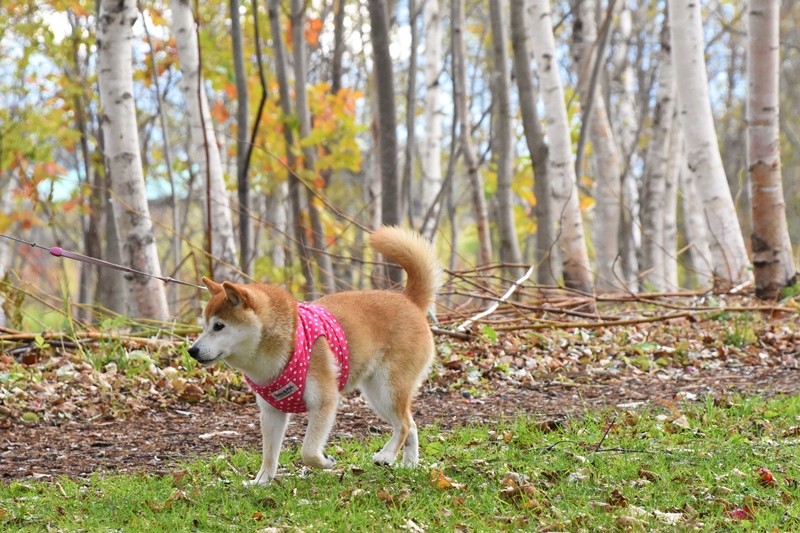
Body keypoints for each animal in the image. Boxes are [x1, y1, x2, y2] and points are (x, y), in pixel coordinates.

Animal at [187, 226, 442, 486]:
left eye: (219, 326)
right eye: (205, 325)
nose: (192, 350)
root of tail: (410, 300)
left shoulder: (324, 401)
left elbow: (308, 451)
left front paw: (325, 462)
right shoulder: (271, 412)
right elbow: (269, 455)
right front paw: (261, 482)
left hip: (386, 389)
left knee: (404, 424)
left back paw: (387, 455)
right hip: (376, 395)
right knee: (411, 424)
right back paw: (409, 465)